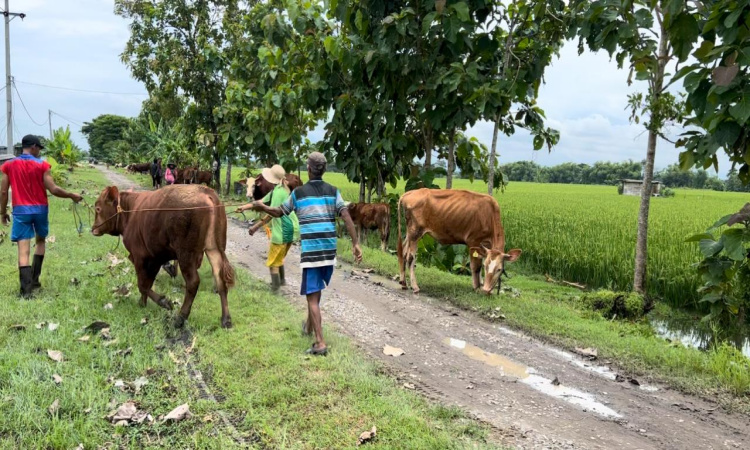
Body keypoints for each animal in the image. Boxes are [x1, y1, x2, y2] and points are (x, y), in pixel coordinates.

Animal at [92, 183, 236, 326]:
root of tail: (205, 191)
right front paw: (142, 303)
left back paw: (181, 318)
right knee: (220, 280)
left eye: (98, 208)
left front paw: (163, 302)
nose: (93, 228)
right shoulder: (155, 257)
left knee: (193, 282)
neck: (130, 212)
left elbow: (142, 284)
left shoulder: (140, 257)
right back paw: (226, 319)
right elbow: (147, 282)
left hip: (186, 254)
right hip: (214, 248)